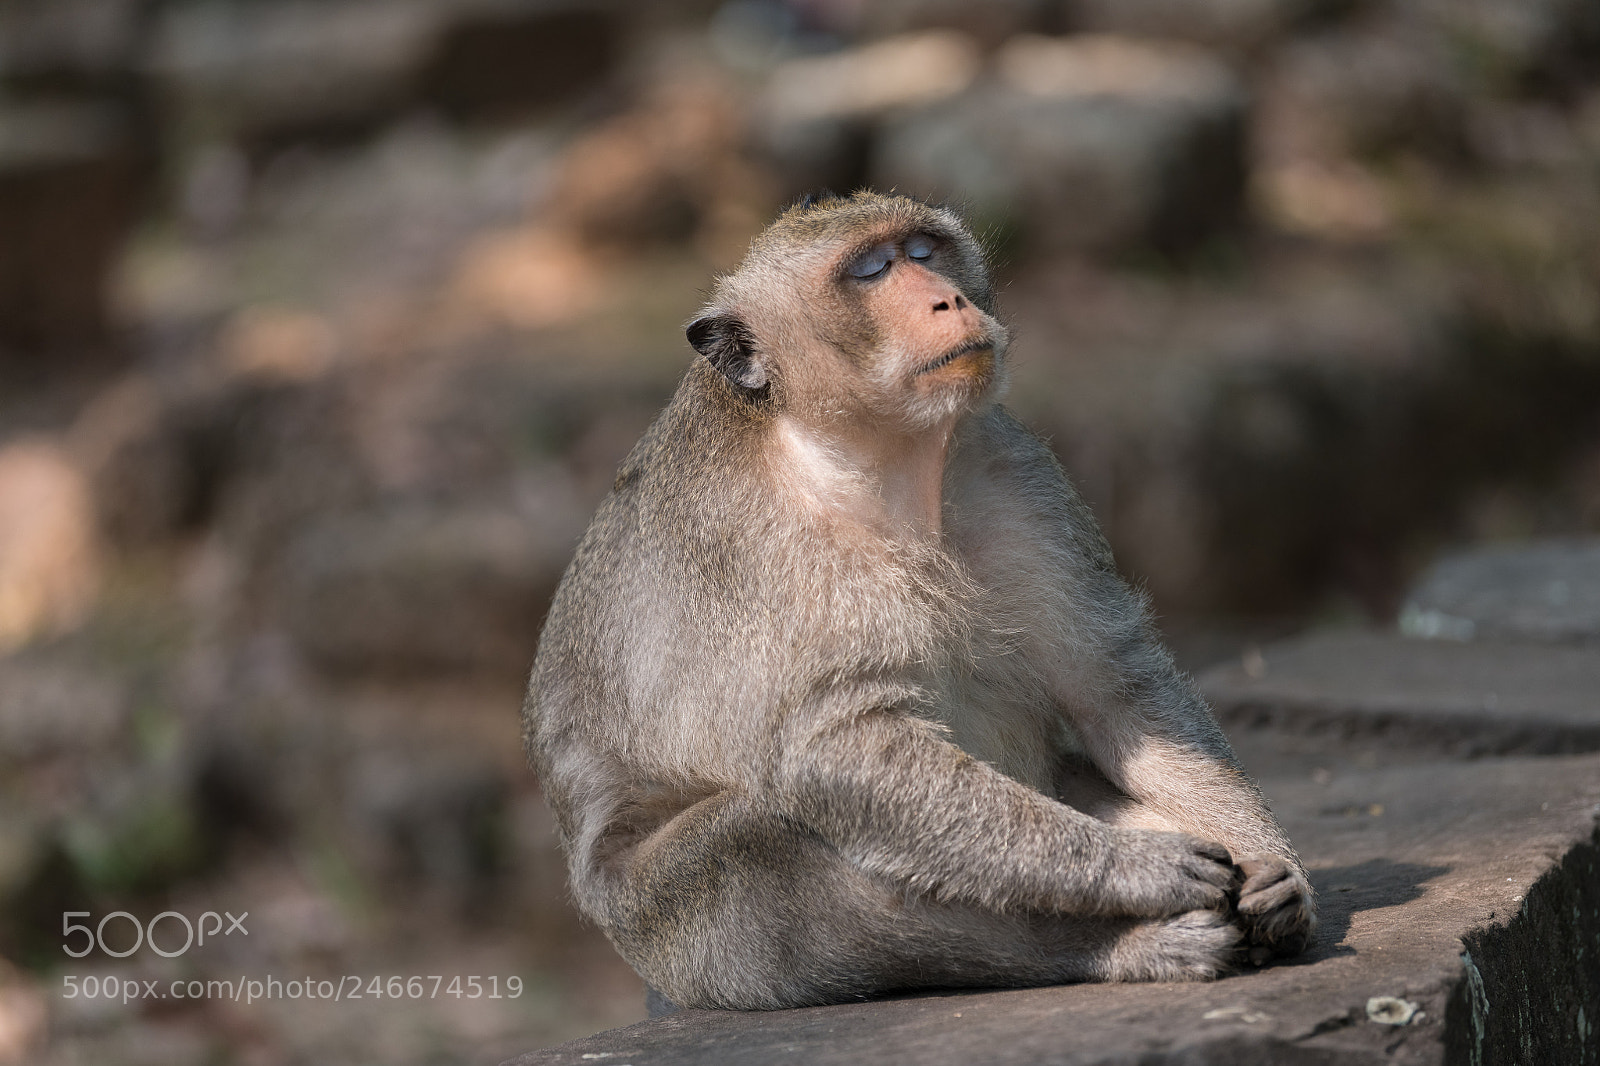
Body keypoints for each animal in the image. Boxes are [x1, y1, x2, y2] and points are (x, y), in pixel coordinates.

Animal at [523, 190, 1315, 1012]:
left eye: (924, 251)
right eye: (872, 269)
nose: (949, 300)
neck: (866, 460)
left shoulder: (1014, 469)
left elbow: (1110, 679)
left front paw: (1272, 867)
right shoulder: (755, 548)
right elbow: (839, 749)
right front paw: (1133, 868)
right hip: (673, 937)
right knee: (761, 851)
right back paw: (1122, 944)